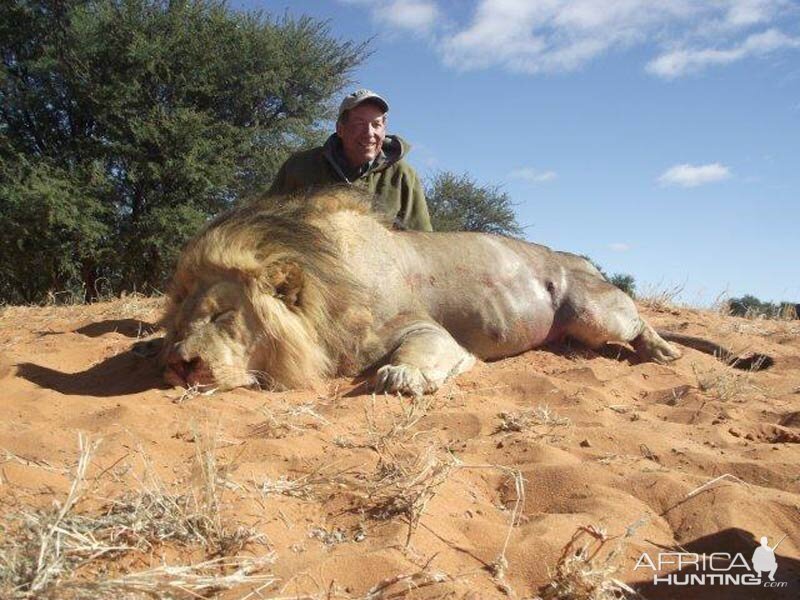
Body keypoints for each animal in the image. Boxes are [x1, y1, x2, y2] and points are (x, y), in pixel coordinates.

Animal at [159, 188, 772, 394]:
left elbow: (414, 356)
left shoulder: (426, 331)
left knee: (641, 323)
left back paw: (662, 350)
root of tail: (584, 261)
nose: (181, 365)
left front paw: (400, 377)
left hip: (596, 309)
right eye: (183, 322)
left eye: (222, 316)